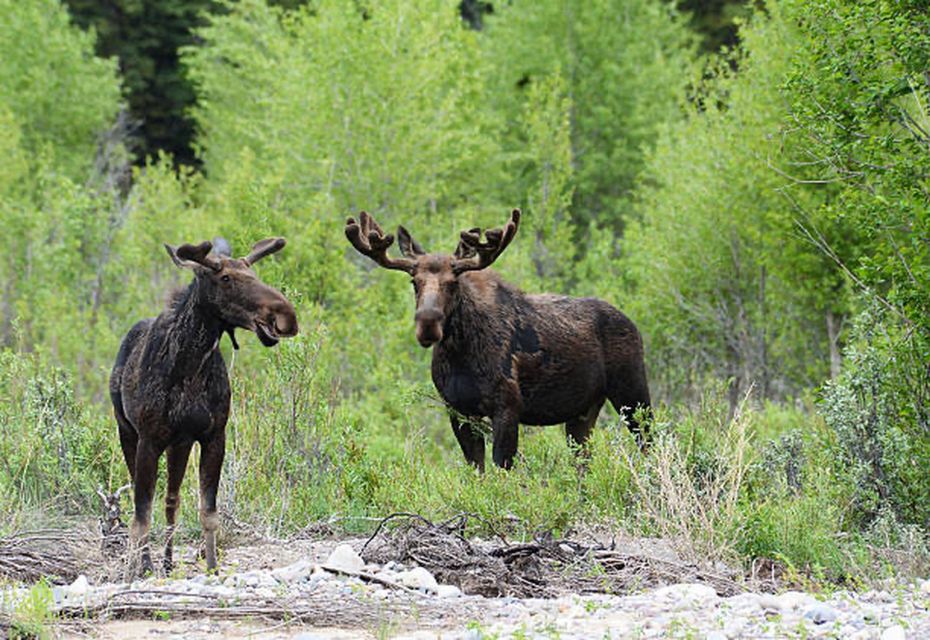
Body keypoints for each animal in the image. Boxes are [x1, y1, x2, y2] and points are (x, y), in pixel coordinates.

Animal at [109, 236, 300, 576]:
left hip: (179, 444)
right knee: (144, 501)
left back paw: (168, 562)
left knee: (172, 499)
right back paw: (147, 562)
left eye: (253, 272)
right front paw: (137, 572)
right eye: (225, 278)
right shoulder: (148, 439)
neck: (192, 366)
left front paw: (212, 568)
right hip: (126, 430)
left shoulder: (213, 436)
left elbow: (207, 512)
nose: (285, 316)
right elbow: (141, 515)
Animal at [344, 210, 648, 470]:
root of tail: (633, 325)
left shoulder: (507, 408)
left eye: (453, 282)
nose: (427, 324)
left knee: (647, 442)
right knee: (584, 462)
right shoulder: (458, 411)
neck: (460, 355)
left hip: (632, 392)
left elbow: (501, 470)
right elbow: (477, 471)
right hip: (583, 412)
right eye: (414, 282)